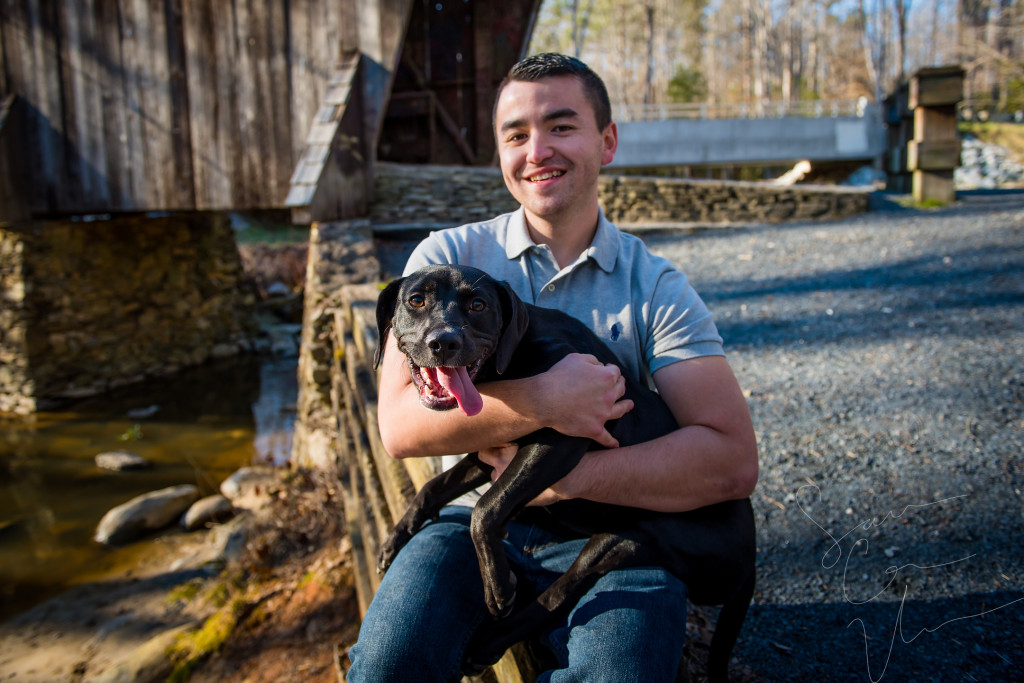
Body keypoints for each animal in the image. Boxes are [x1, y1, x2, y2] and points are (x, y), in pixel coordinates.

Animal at [372, 264, 757, 679]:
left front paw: (497, 584)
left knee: (560, 593)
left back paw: (490, 641)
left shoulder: (566, 435)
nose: (444, 342)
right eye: (416, 300)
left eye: (478, 305)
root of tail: (751, 556)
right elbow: (436, 485)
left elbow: (485, 509)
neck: (514, 356)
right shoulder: (488, 451)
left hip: (632, 537)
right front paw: (396, 537)